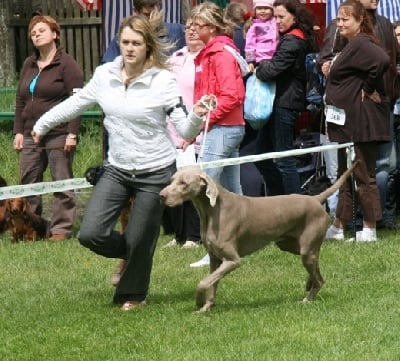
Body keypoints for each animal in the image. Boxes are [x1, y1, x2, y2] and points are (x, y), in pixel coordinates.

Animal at [160, 162, 360, 310]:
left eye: (183, 183)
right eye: (172, 180)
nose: (161, 196)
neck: (211, 211)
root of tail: (315, 198)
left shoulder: (233, 260)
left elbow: (203, 283)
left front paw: (199, 301)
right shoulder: (215, 259)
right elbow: (212, 283)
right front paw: (206, 307)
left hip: (305, 247)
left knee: (319, 277)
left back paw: (307, 299)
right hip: (290, 245)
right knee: (317, 267)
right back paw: (308, 283)